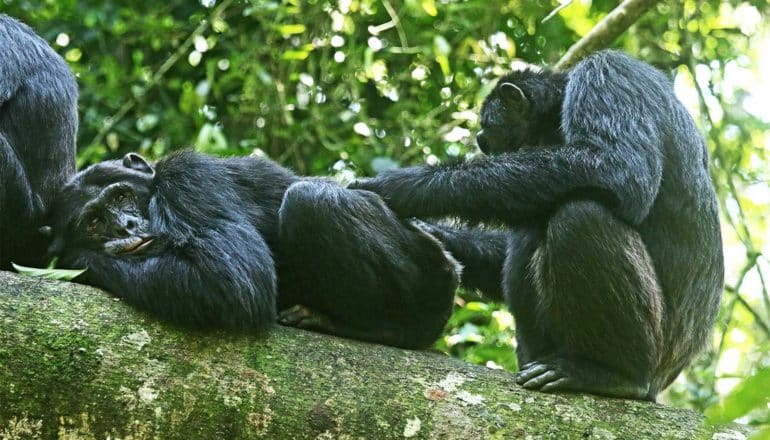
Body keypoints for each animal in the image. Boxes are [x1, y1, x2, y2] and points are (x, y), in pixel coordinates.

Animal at [45, 150, 460, 348]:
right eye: (94, 222)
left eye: (122, 196)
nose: (125, 226)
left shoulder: (190, 177)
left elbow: (233, 278)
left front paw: (80, 260)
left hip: (427, 278)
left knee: (310, 200)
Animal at [352, 49, 724, 400]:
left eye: (488, 124)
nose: (480, 138)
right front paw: (434, 232)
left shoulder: (608, 75)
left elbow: (616, 166)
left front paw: (405, 186)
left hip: (657, 355)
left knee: (579, 216)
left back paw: (611, 373)